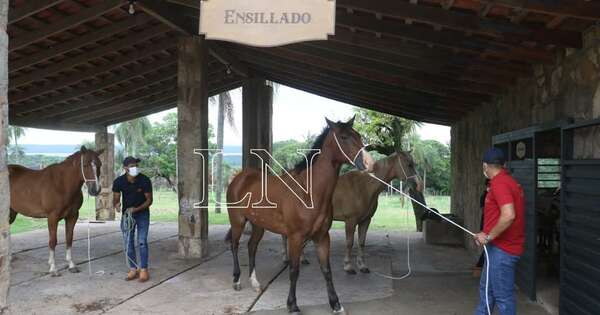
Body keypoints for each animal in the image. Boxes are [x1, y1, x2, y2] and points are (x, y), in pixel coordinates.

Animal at [9, 146, 103, 276]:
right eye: (84, 165)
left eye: (100, 165)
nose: (95, 190)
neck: (62, 184)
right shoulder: (52, 217)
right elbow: (53, 241)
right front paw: (53, 268)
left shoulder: (72, 216)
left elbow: (69, 239)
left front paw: (71, 265)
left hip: (11, 212)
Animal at [227, 118, 372, 315]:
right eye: (344, 137)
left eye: (358, 135)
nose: (368, 163)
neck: (308, 192)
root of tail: (239, 178)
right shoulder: (295, 238)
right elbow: (294, 271)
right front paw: (293, 305)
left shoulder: (322, 237)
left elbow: (327, 270)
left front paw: (336, 304)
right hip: (238, 221)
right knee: (235, 245)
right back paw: (236, 280)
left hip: (258, 225)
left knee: (251, 247)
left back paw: (255, 283)